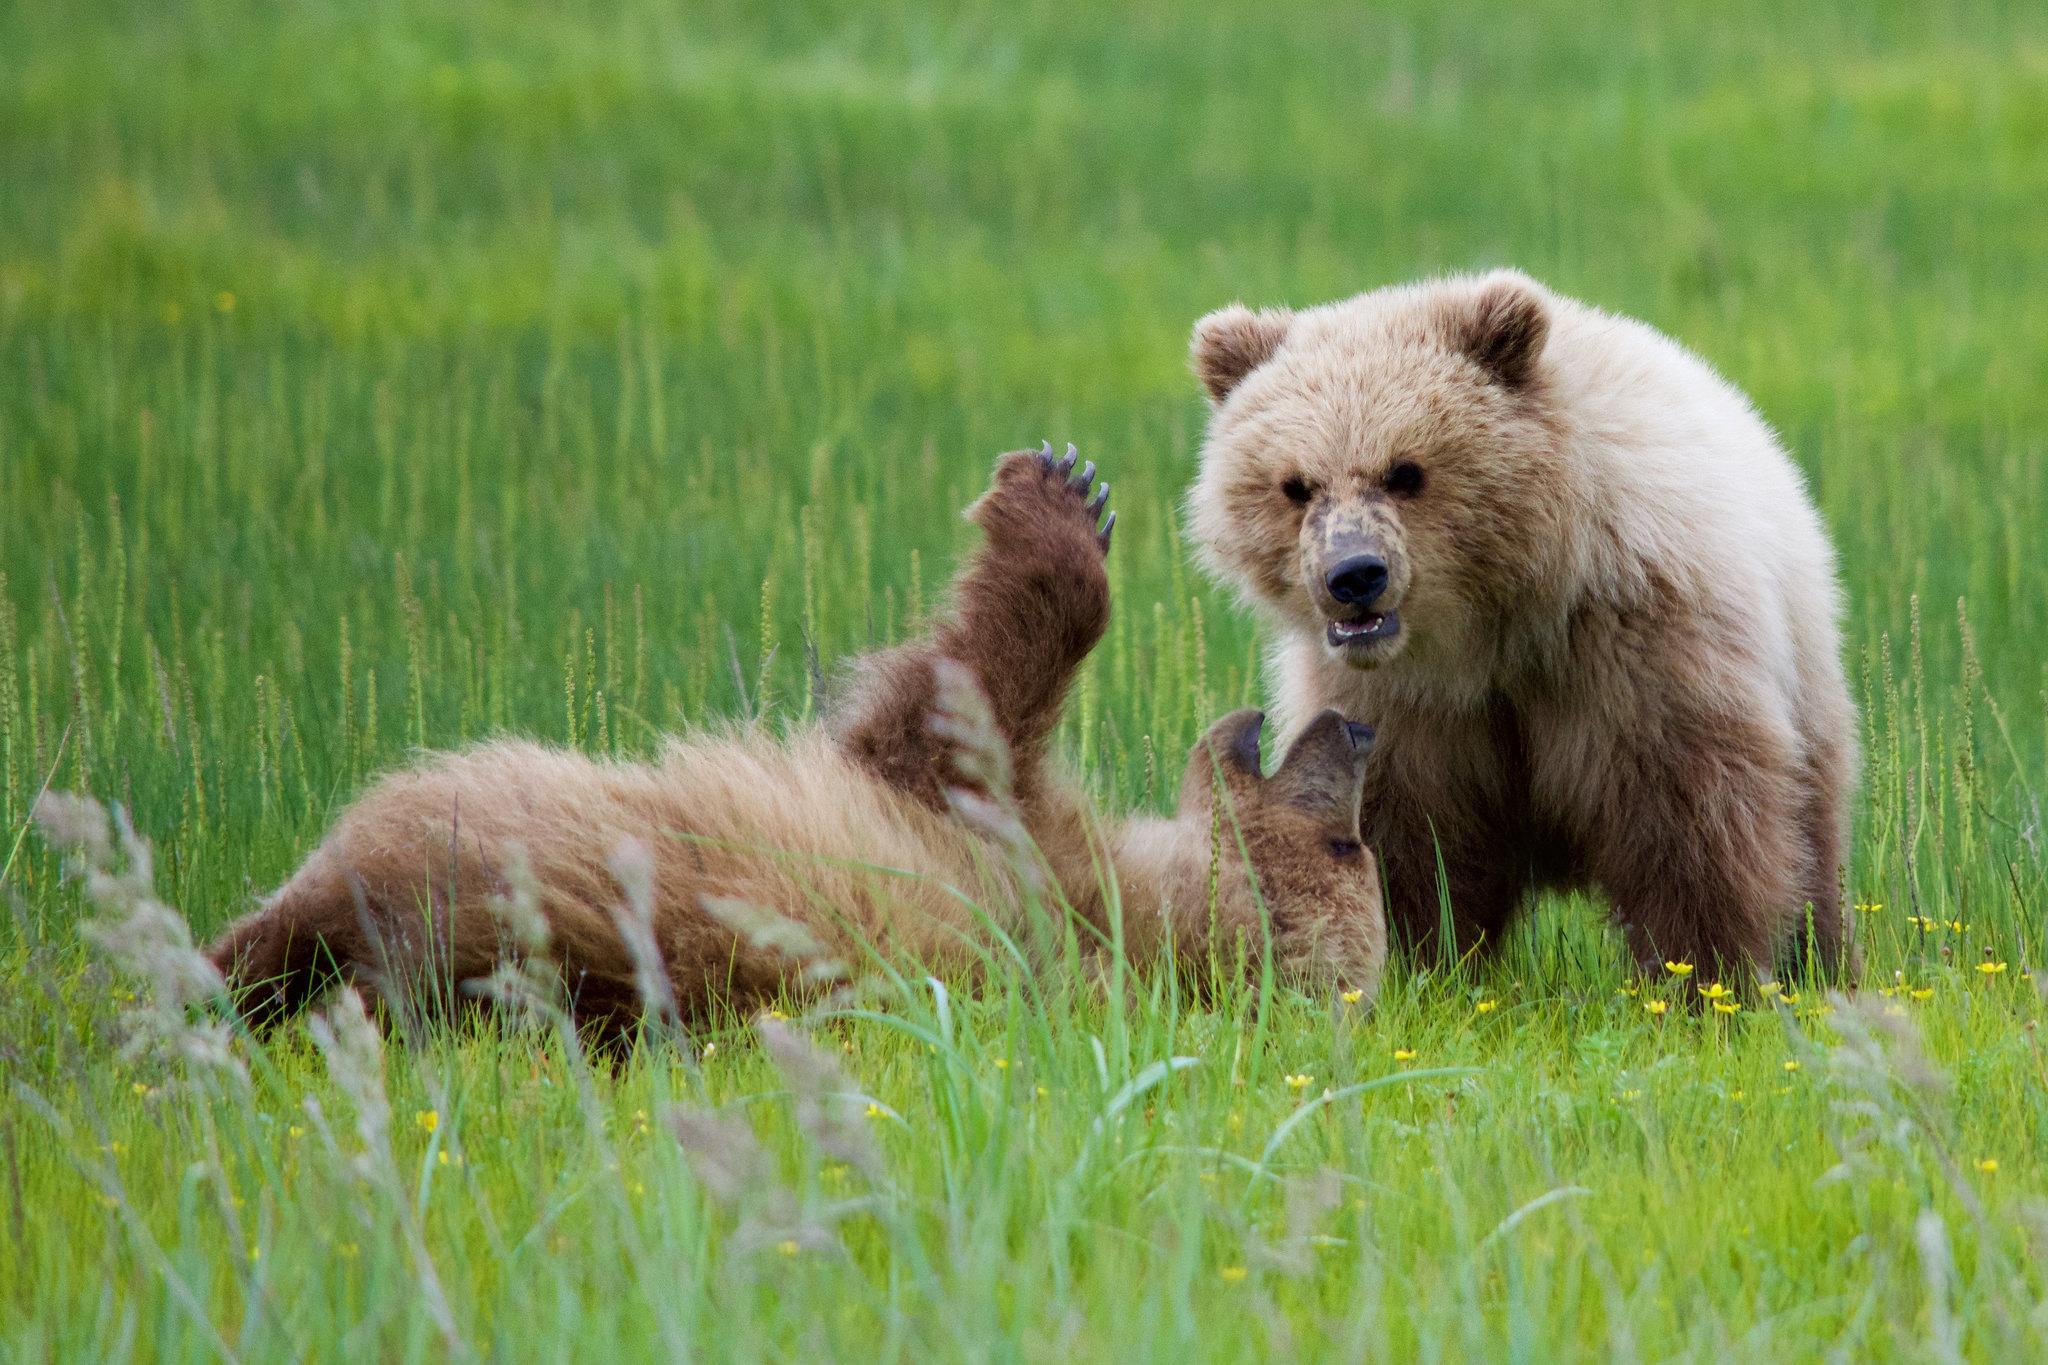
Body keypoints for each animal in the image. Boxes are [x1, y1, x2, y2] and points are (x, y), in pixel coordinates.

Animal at [1187, 274, 1859, 982]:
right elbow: (1407, 837)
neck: (1497, 625)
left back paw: (1821, 965)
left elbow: (1689, 824)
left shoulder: (1635, 644)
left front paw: (1703, 976)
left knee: (1810, 840)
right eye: (1296, 485)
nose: (1354, 575)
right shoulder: (1402, 704)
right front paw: (1419, 966)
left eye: (1405, 471)